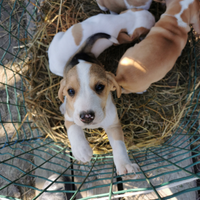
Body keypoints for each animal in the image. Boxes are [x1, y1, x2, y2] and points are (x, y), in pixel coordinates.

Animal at [57, 35, 139, 176]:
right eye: (70, 91)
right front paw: (81, 150)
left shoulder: (113, 124)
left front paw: (124, 164)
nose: (87, 117)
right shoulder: (69, 118)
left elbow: (119, 145)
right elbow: (74, 130)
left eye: (100, 87)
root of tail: (81, 53)